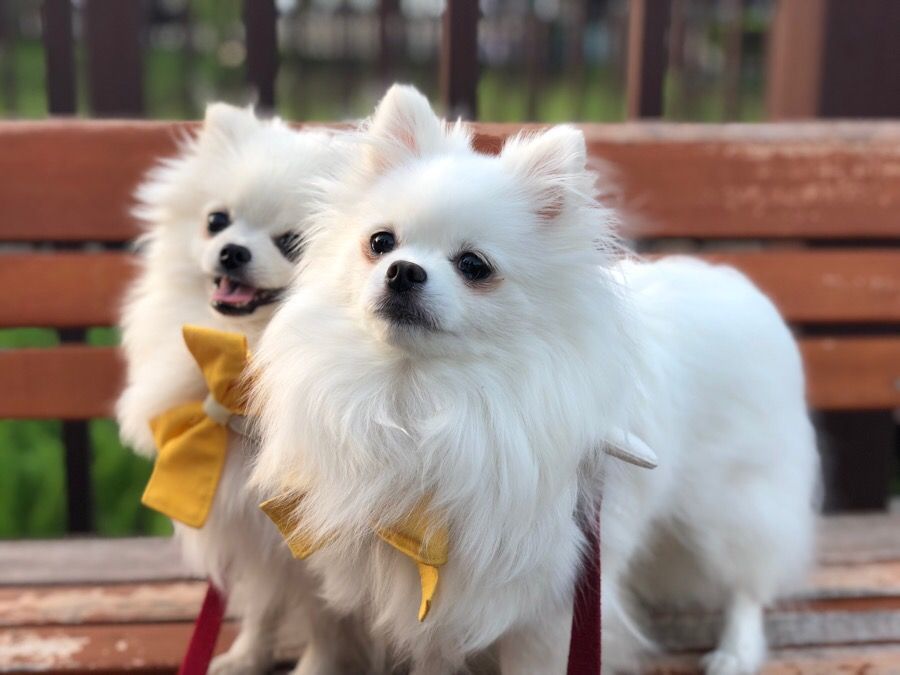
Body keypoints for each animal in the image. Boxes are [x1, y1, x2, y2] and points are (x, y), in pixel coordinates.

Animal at [116, 101, 370, 675]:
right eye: (217, 220)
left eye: (291, 243)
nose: (231, 251)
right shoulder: (254, 541)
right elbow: (262, 606)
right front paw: (246, 657)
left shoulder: (316, 553)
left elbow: (327, 625)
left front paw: (314, 670)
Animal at [250, 86, 820, 675]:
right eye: (381, 242)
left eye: (474, 266)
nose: (404, 270)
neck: (421, 396)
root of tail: (742, 289)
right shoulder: (429, 594)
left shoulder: (553, 603)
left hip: (731, 507)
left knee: (747, 584)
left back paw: (736, 651)